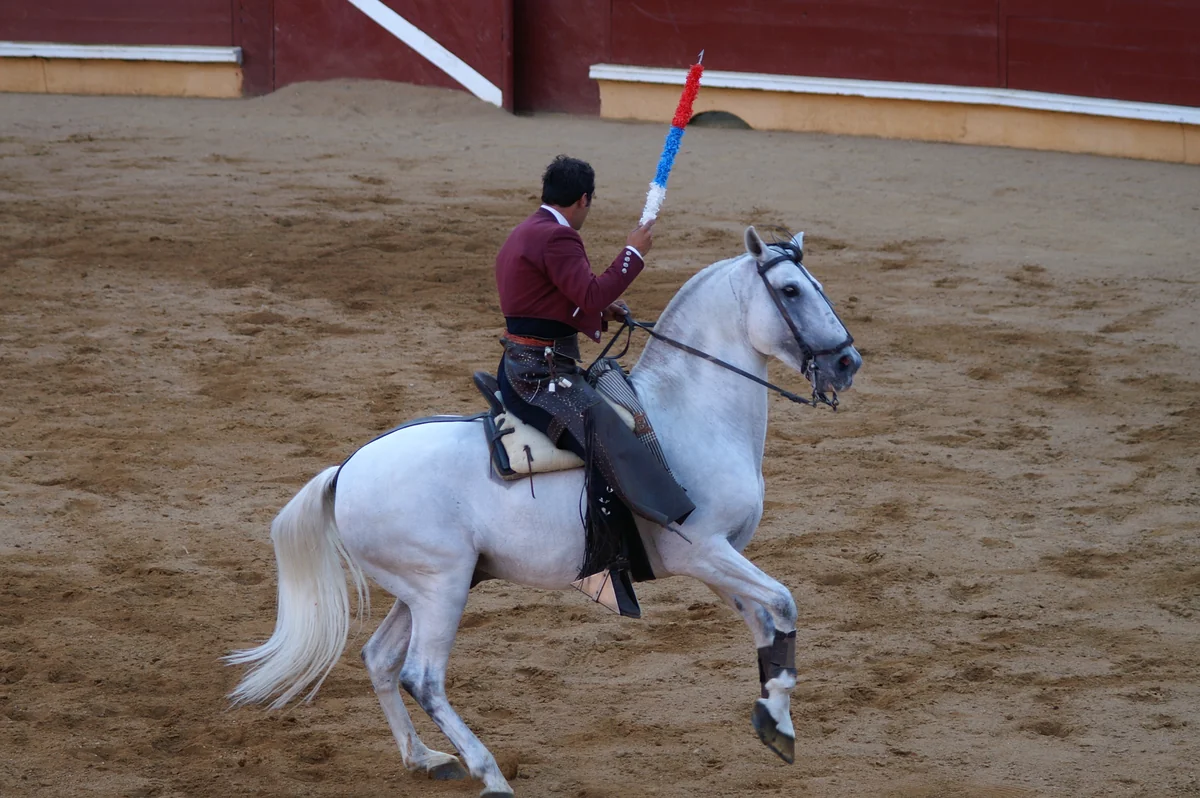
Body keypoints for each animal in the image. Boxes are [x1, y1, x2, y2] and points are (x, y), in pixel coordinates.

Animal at [226, 226, 862, 797]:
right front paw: (777, 719)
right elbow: (784, 602)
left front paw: (774, 721)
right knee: (422, 678)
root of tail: (347, 470)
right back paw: (489, 774)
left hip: (426, 588)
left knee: (380, 660)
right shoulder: (704, 550)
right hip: (441, 587)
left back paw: (426, 759)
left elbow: (767, 620)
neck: (691, 412)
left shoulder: (719, 560)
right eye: (791, 290)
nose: (847, 363)